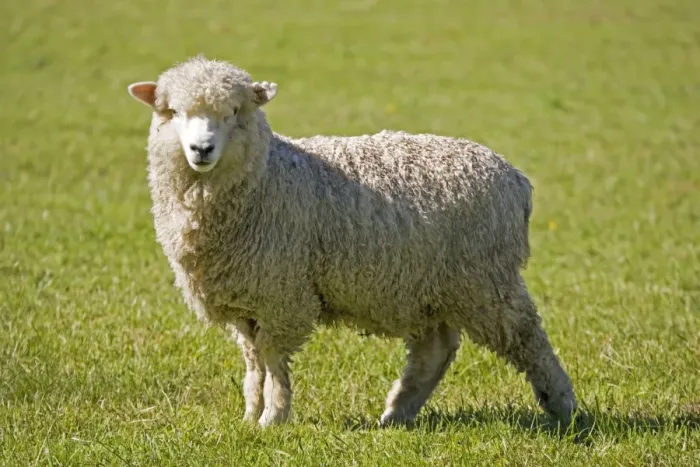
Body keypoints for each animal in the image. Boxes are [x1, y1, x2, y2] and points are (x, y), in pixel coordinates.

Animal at [126, 55, 578, 428]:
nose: (201, 149)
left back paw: (565, 407)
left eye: (234, 112)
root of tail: (515, 179)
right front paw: (250, 414)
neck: (265, 177)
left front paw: (273, 417)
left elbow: (273, 359)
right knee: (435, 350)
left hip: (485, 279)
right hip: (430, 284)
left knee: (528, 339)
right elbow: (254, 361)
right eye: (173, 112)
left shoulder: (282, 295)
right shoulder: (246, 299)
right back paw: (397, 413)